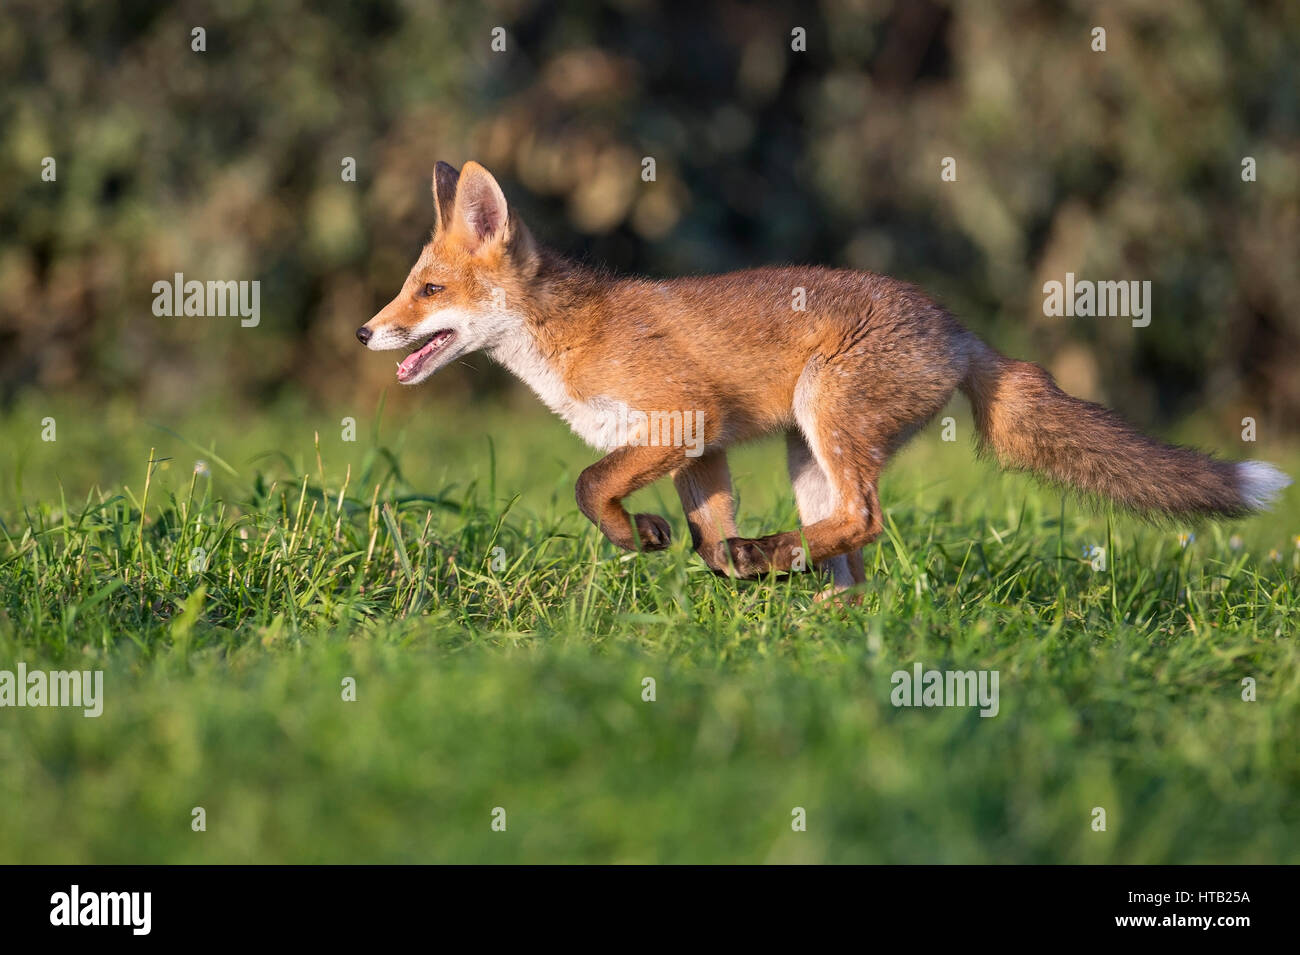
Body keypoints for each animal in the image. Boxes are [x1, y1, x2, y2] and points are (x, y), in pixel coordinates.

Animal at [356, 160, 1289, 595]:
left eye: (428, 291)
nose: (368, 329)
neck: (569, 339)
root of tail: (956, 325)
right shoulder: (702, 446)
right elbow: (703, 531)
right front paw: (699, 557)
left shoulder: (680, 415)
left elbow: (591, 484)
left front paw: (636, 536)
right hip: (807, 453)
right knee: (852, 547)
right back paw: (816, 609)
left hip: (825, 417)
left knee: (867, 520)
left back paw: (783, 565)